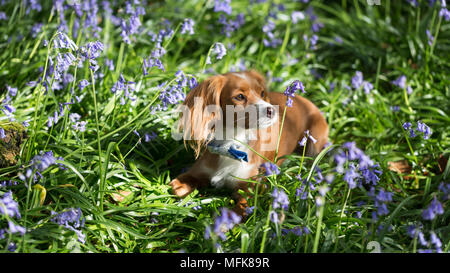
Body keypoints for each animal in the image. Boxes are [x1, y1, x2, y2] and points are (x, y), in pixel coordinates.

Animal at [169, 70, 326, 217]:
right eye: (239, 96)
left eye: (262, 93)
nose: (272, 110)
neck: (231, 144)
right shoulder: (195, 172)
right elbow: (176, 188)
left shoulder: (250, 189)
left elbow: (238, 212)